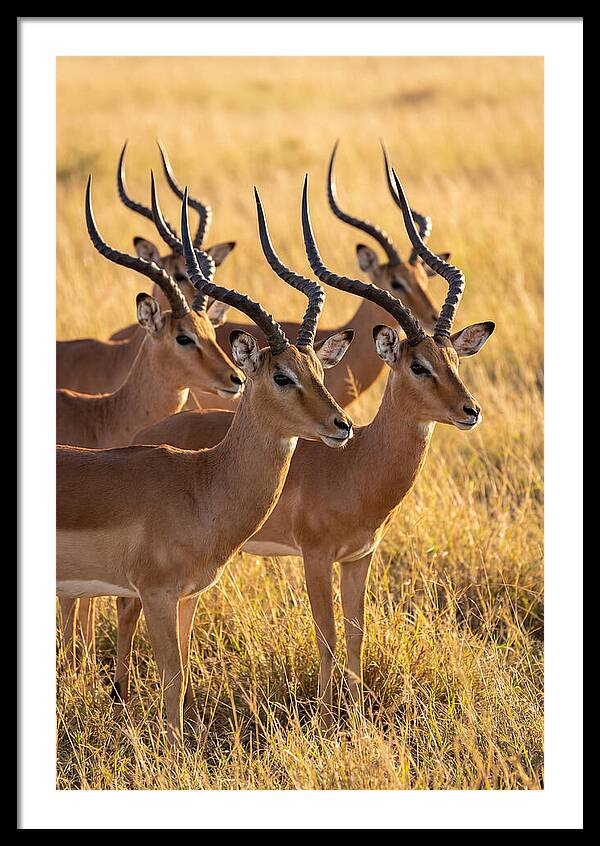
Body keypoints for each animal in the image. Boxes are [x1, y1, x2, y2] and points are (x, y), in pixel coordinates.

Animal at [56, 186, 355, 744]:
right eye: (281, 375)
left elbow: (185, 668)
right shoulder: (154, 594)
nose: (341, 425)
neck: (201, 485)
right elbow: (171, 678)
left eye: (318, 370)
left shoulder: (188, 596)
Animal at [127, 170, 495, 726]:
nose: (470, 410)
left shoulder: (360, 557)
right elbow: (327, 636)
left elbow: (357, 635)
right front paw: (325, 717)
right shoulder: (316, 557)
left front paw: (357, 714)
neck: (358, 464)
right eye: (418, 365)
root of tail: (145, 436)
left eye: (453, 358)